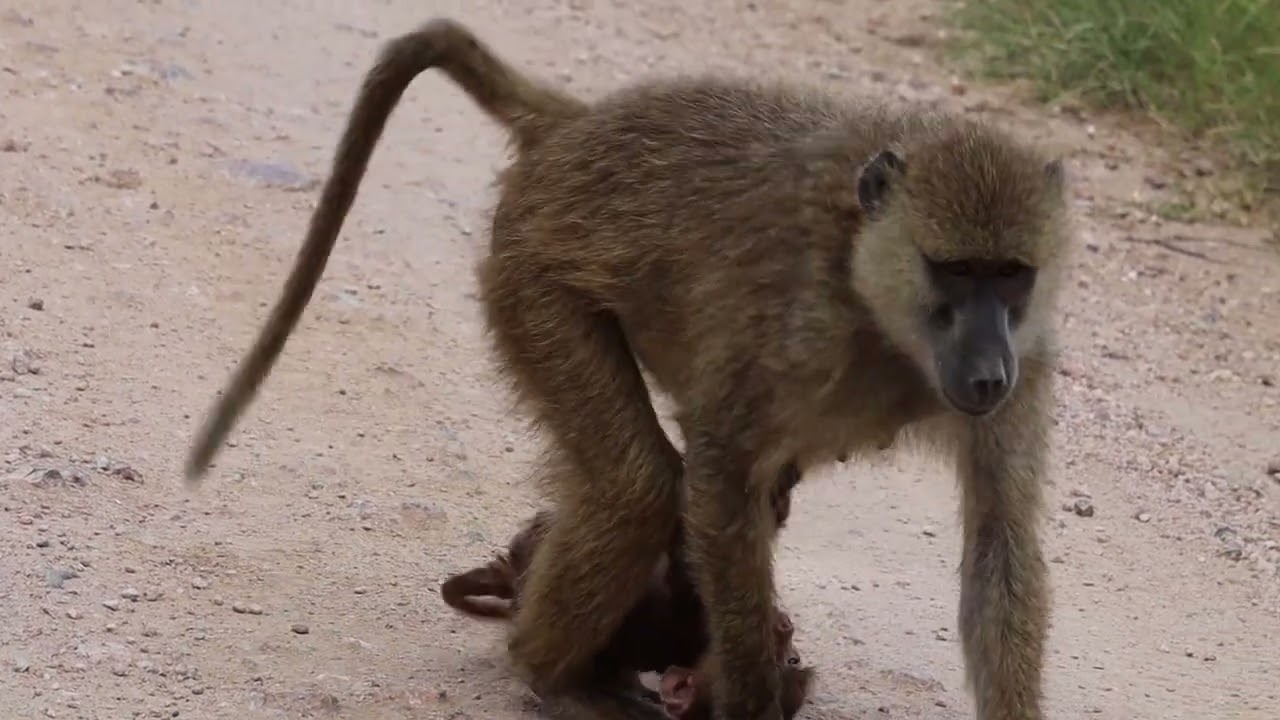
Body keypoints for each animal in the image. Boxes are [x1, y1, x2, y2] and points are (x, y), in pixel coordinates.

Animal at [184, 16, 1071, 720]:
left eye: (1011, 275)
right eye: (954, 271)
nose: (987, 376)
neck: (876, 301)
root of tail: (576, 126)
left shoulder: (1029, 355)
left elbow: (1000, 538)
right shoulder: (791, 330)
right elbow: (716, 474)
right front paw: (750, 700)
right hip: (529, 274)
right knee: (639, 486)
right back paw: (551, 672)